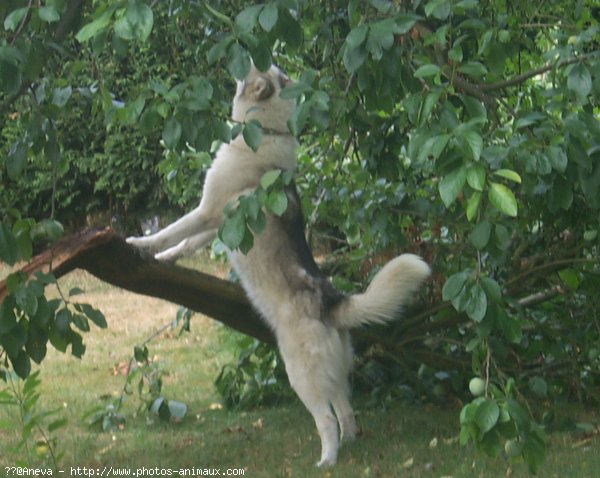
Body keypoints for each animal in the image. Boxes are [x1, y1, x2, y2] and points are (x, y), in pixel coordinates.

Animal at [127, 64, 432, 466]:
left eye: (255, 70)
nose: (238, 59)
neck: (265, 132)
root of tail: (330, 301)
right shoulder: (215, 226)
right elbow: (184, 243)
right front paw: (163, 259)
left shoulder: (207, 213)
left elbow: (170, 231)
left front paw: (141, 245)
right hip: (333, 372)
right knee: (346, 409)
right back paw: (350, 445)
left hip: (301, 374)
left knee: (327, 419)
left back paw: (327, 460)